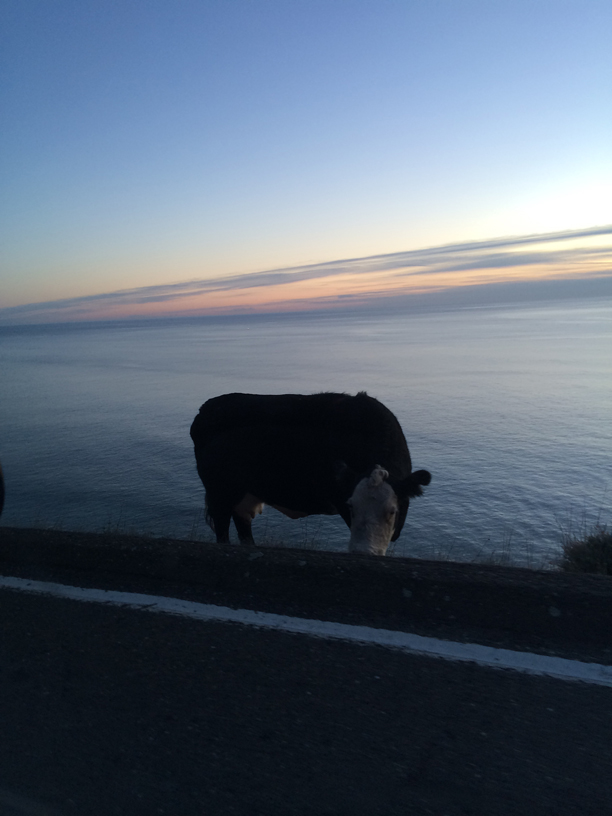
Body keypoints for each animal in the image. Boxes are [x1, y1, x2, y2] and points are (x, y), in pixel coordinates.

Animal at [189, 391, 431, 556]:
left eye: (392, 510)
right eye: (351, 506)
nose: (363, 553)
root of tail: (206, 408)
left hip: (244, 495)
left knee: (243, 528)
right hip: (220, 494)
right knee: (223, 531)